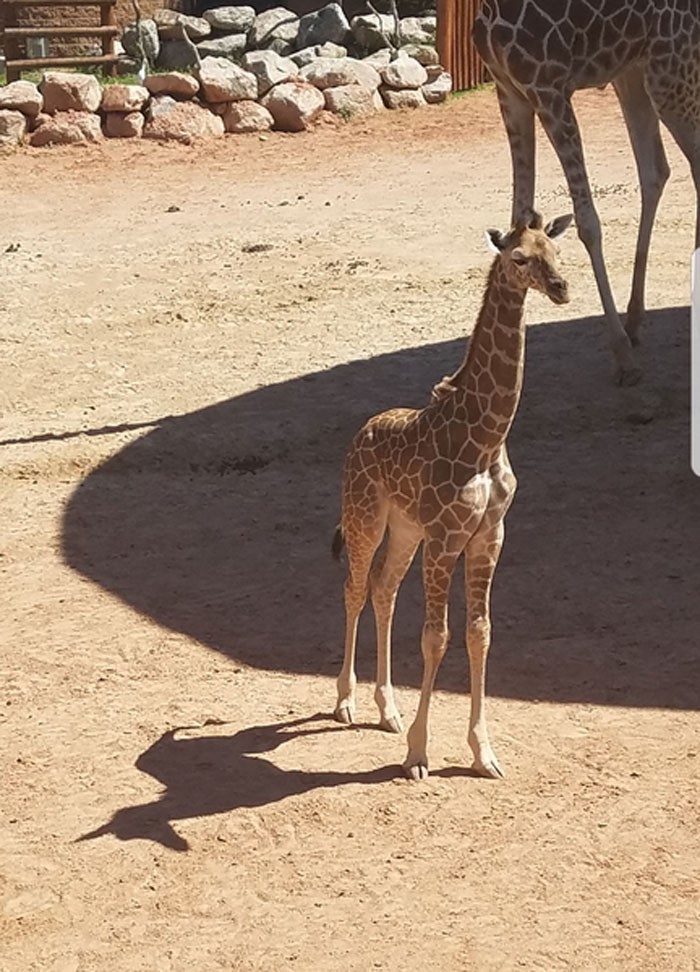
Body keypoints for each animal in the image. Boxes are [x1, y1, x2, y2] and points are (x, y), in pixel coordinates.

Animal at [332, 211, 568, 784]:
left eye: (555, 251)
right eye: (518, 258)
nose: (560, 287)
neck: (486, 437)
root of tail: (360, 433)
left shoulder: (488, 534)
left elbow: (479, 632)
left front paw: (483, 752)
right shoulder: (445, 536)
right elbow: (435, 636)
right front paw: (418, 753)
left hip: (404, 530)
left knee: (383, 589)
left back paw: (387, 709)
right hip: (365, 517)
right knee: (355, 588)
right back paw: (346, 702)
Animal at [470, 0, 700, 388]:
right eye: (521, 260)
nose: (559, 290)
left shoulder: (549, 88)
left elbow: (588, 223)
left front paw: (624, 359)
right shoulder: (510, 90)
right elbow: (519, 213)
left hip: (671, 72)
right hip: (635, 73)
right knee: (656, 170)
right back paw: (634, 319)